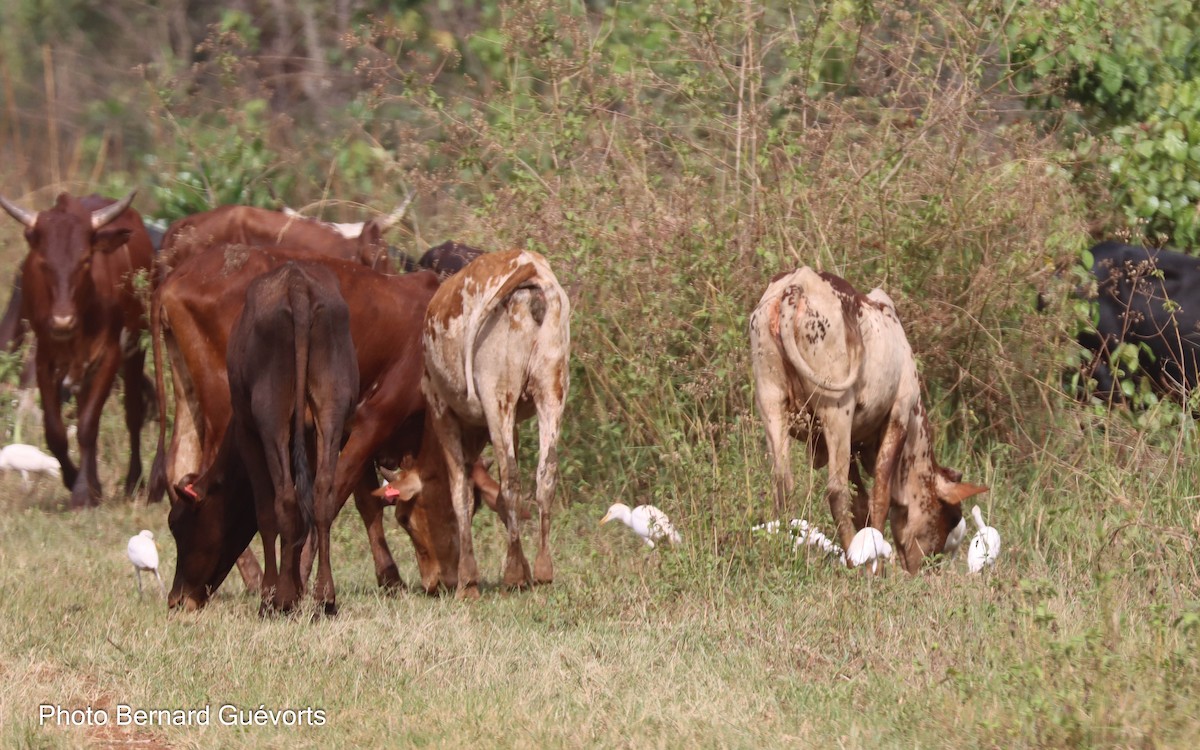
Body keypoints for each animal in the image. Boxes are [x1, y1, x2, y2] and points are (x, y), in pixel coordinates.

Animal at [0, 191, 154, 508]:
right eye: (43, 262)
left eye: (85, 261)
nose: (62, 321)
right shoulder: (45, 360)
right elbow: (56, 431)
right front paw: (75, 481)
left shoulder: (110, 355)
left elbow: (87, 425)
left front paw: (83, 493)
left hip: (137, 346)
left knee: (132, 414)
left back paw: (134, 481)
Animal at [421, 249, 570, 598]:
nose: (431, 581)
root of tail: (530, 267)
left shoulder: (440, 409)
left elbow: (460, 494)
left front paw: (467, 580)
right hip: (551, 389)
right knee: (545, 474)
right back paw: (542, 571)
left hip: (496, 396)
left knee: (511, 480)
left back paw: (513, 573)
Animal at [748, 267, 987, 573]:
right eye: (948, 516)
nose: (923, 567)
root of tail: (795, 289)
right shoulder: (898, 414)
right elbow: (879, 497)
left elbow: (861, 501)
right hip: (836, 409)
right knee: (836, 490)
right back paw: (853, 560)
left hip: (771, 400)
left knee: (783, 481)